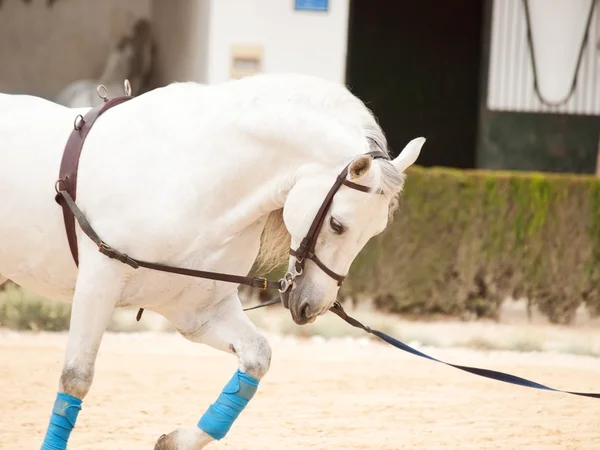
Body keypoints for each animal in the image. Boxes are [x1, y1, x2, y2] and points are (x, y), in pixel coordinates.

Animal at [0, 72, 424, 448]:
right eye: (337, 224)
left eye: (376, 232)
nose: (313, 306)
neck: (192, 176)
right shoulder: (97, 286)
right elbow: (76, 378)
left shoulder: (197, 311)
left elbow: (257, 358)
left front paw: (175, 441)